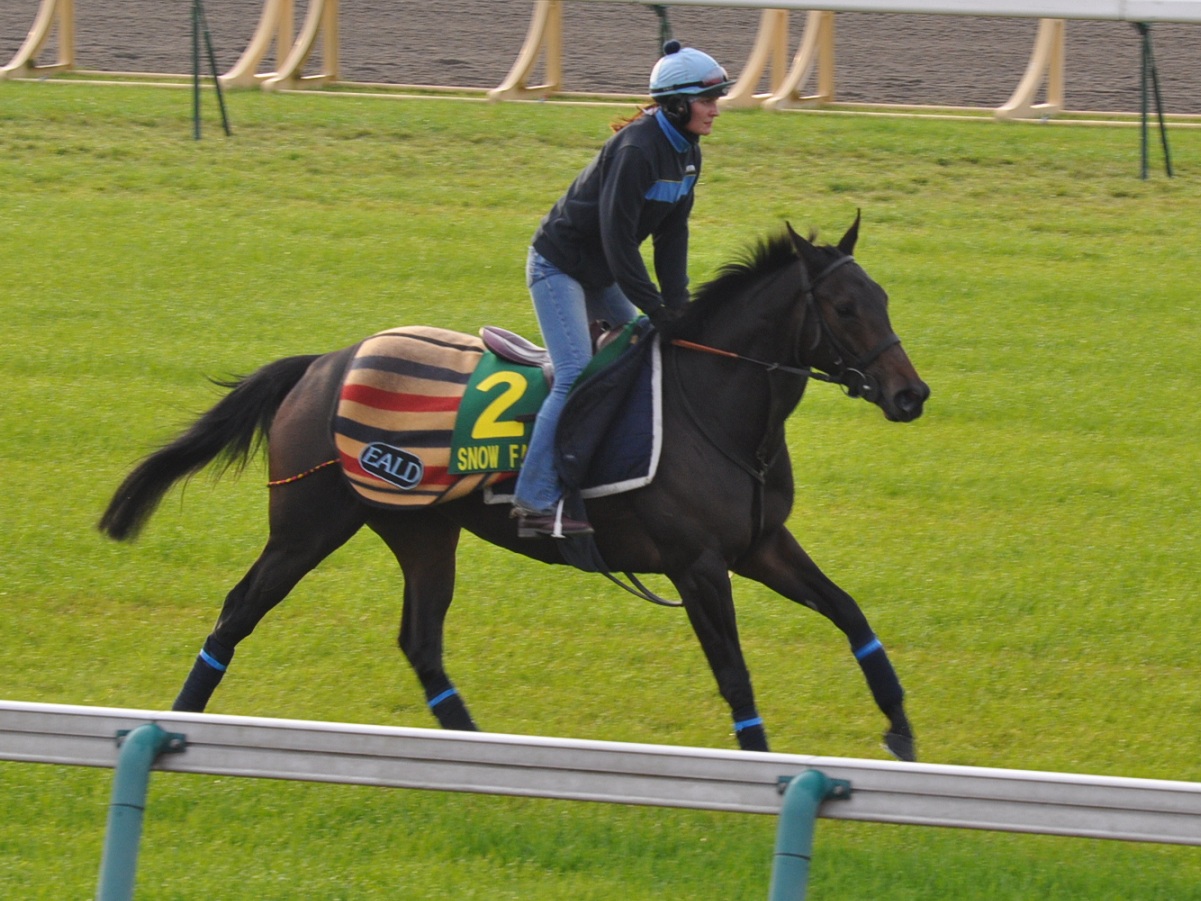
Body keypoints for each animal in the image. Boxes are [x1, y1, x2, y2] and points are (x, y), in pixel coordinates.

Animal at [99, 214, 929, 760]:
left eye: (885, 298)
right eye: (844, 307)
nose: (909, 394)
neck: (715, 406)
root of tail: (322, 363)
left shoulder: (759, 544)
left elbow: (848, 611)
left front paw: (899, 727)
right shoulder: (697, 565)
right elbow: (733, 671)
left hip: (421, 529)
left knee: (421, 641)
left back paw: (478, 748)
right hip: (308, 523)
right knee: (238, 611)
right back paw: (177, 720)